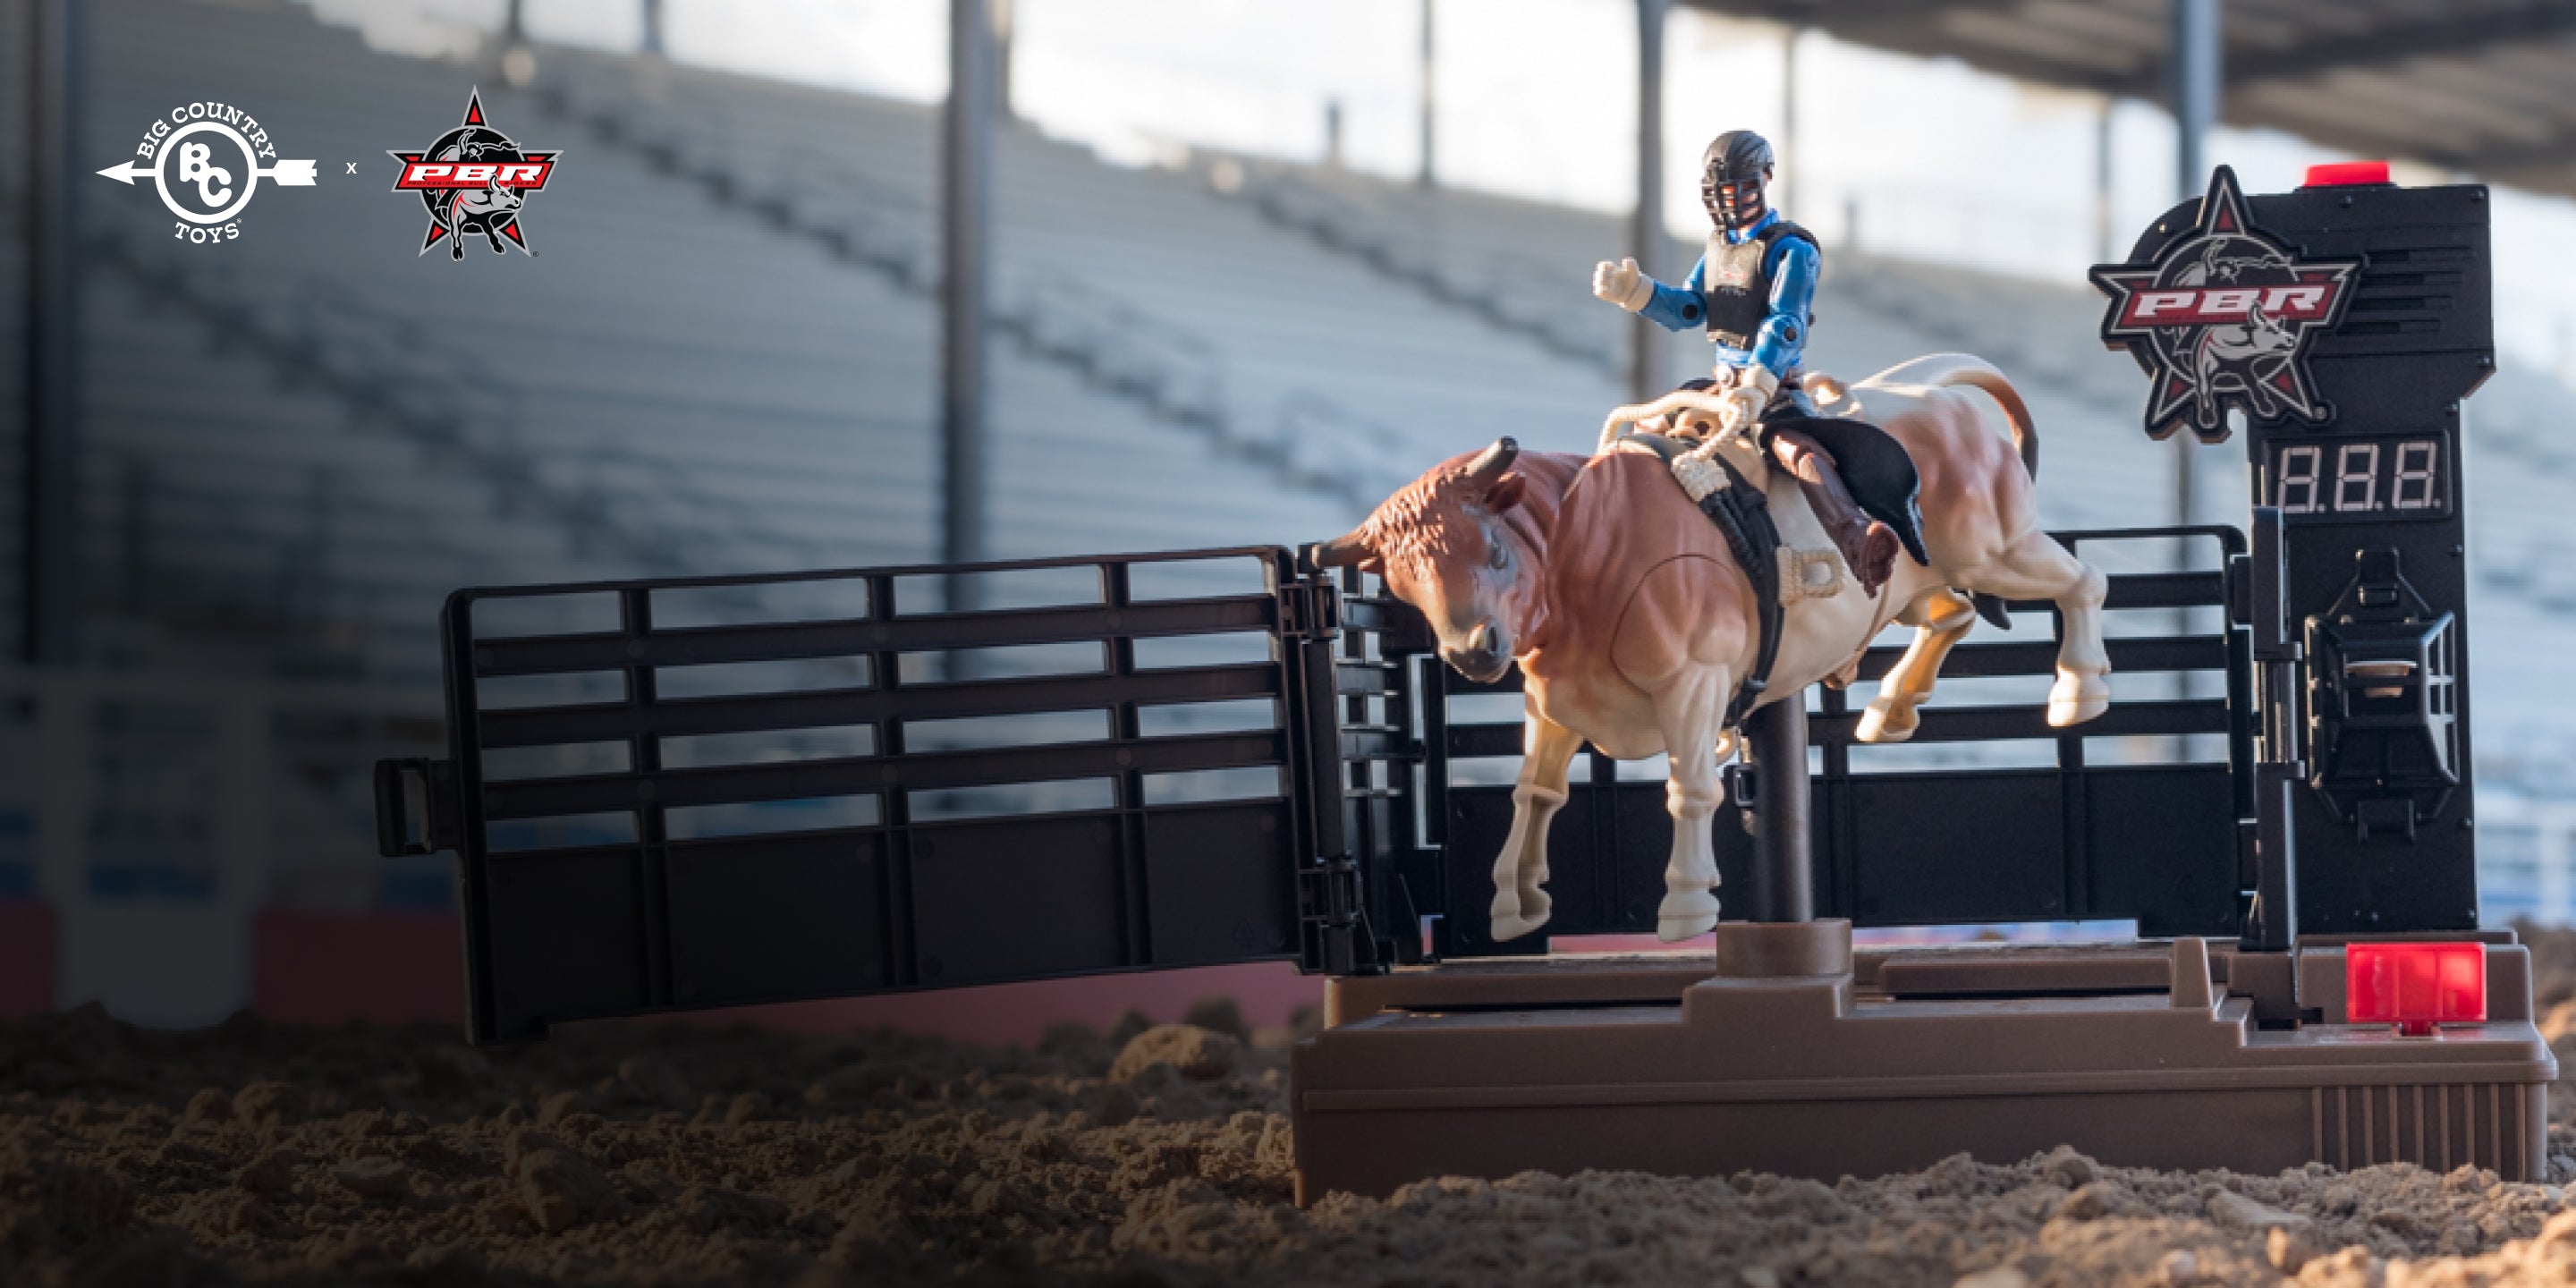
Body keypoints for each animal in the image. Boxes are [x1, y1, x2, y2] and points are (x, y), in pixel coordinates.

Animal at [1318, 358, 2102, 943]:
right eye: (1404, 585)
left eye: (1494, 550)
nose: (1474, 653)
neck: (1590, 542)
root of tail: (1930, 393)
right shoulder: (1555, 701)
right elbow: (1533, 792)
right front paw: (1516, 901)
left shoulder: (1693, 684)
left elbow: (1690, 789)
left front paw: (1688, 903)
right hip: (1921, 580)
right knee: (1953, 613)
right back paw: (1892, 707)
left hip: (1999, 551)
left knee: (2082, 581)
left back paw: (2079, 690)